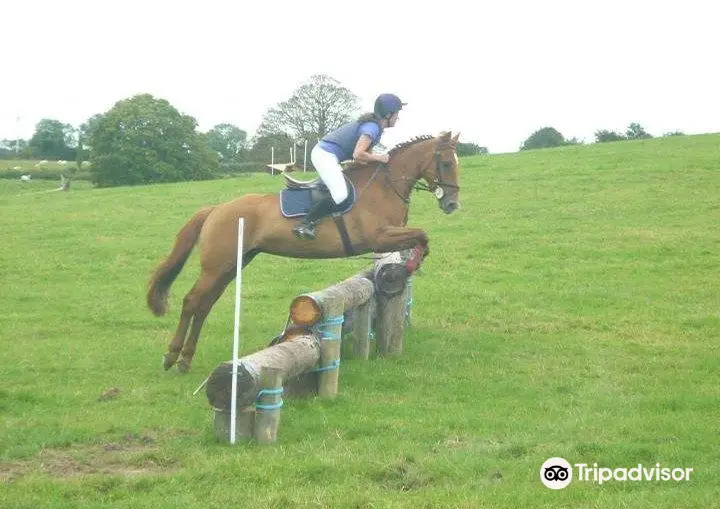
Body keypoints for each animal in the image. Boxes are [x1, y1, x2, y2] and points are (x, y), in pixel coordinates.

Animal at [148, 129, 462, 372]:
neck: (385, 186)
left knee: (204, 305)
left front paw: (405, 269)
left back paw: (186, 359)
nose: (451, 204)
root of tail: (216, 209)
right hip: (216, 266)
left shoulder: (390, 237)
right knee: (192, 302)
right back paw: (172, 356)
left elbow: (421, 240)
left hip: (232, 265)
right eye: (446, 163)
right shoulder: (379, 237)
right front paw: (404, 270)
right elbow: (422, 236)